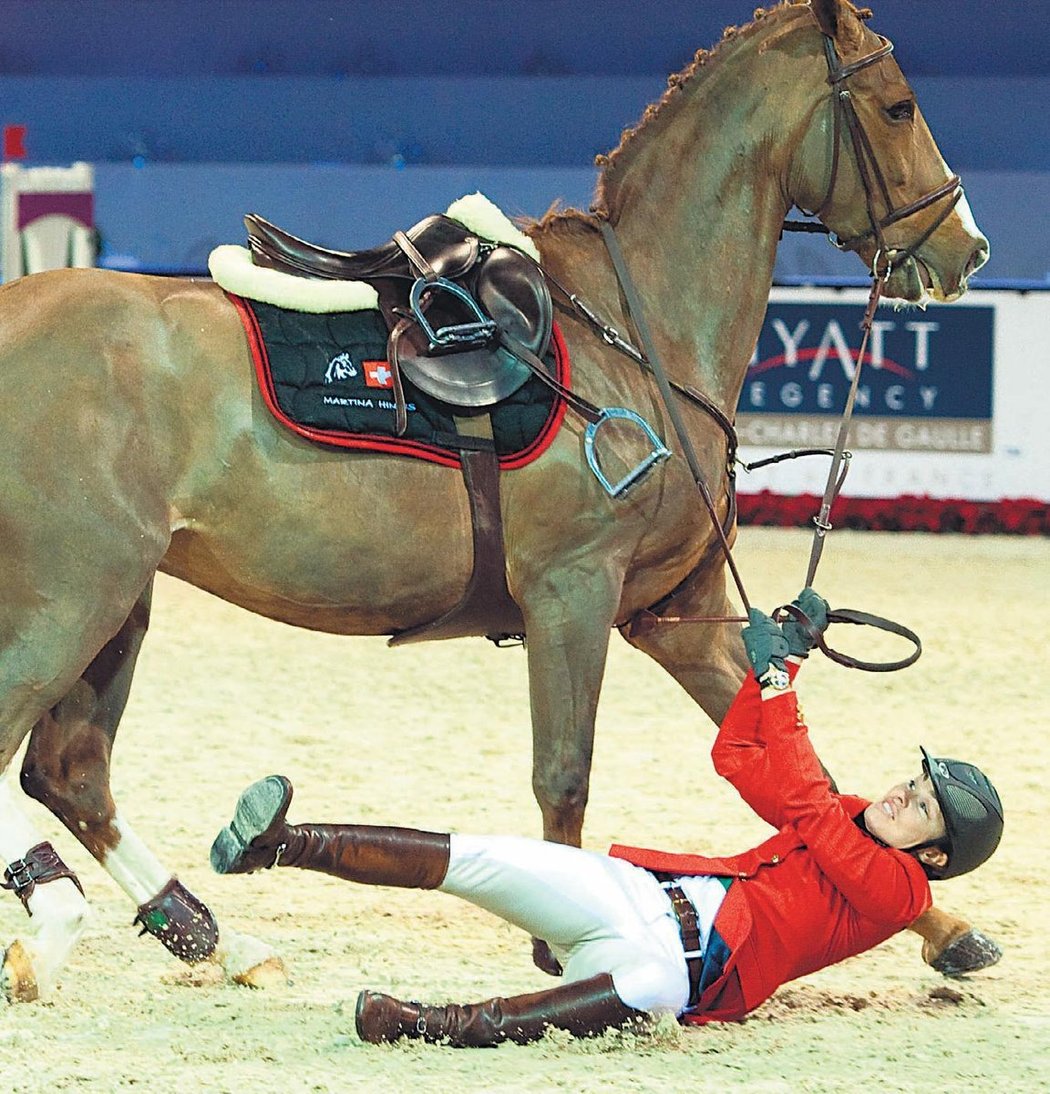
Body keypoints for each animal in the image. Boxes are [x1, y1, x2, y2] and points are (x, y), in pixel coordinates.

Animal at [0, 0, 993, 1002]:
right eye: (899, 106)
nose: (968, 248)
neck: (635, 331)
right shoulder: (571, 592)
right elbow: (566, 774)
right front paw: (565, 939)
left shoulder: (678, 613)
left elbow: (805, 781)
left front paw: (945, 928)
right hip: (75, 596)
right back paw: (56, 923)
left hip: (120, 603)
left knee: (71, 770)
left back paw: (213, 937)